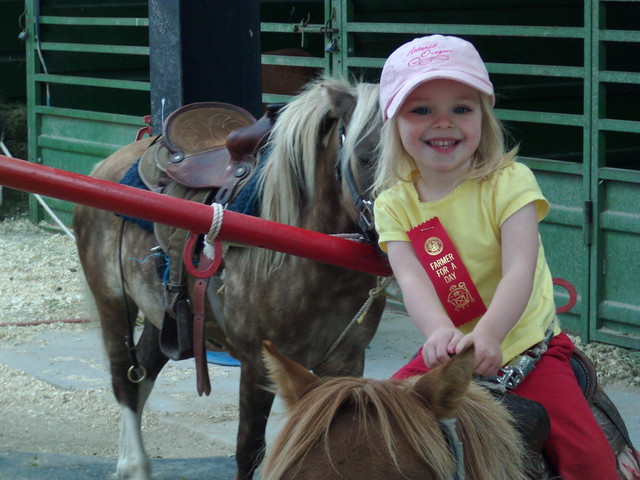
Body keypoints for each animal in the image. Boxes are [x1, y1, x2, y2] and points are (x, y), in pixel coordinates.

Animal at [75, 79, 384, 480]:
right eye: (364, 156)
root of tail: (105, 165)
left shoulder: (346, 362)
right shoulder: (257, 364)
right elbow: (249, 451)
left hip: (162, 317)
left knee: (141, 373)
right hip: (113, 301)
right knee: (124, 382)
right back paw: (134, 466)